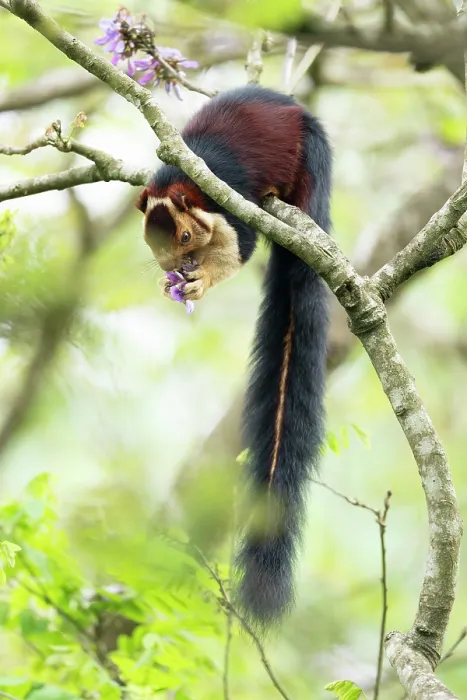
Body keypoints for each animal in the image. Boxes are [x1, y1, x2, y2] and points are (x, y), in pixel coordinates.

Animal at [136, 85, 332, 627]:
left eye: (184, 236)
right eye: (154, 247)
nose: (181, 266)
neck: (181, 180)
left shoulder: (228, 194)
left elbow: (239, 246)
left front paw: (202, 280)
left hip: (308, 164)